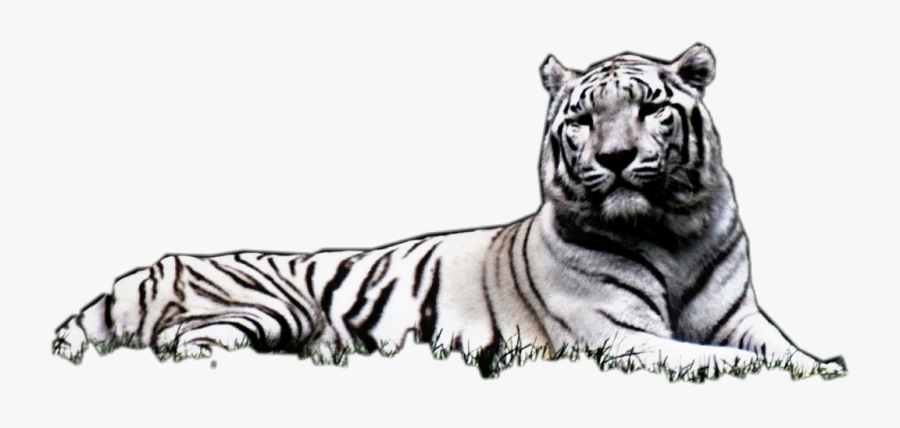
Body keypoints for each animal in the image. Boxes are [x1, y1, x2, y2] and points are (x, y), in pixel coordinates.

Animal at [53, 44, 846, 381]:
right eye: (582, 120)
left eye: (651, 109)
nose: (618, 158)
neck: (669, 234)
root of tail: (150, 267)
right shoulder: (617, 337)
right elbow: (714, 359)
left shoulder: (741, 316)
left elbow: (778, 349)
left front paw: (825, 366)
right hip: (265, 309)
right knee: (181, 348)